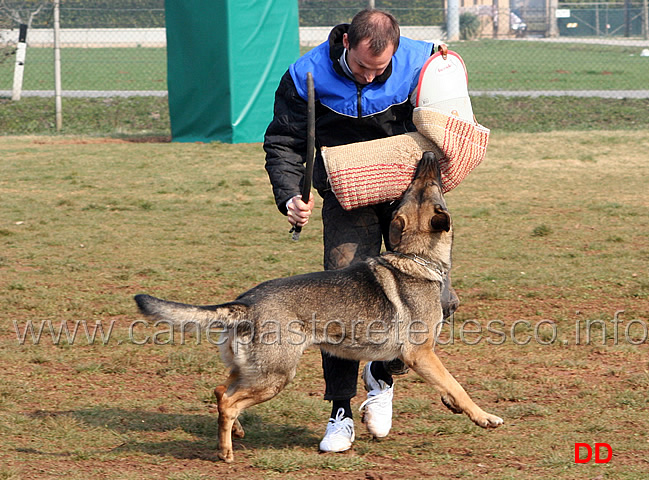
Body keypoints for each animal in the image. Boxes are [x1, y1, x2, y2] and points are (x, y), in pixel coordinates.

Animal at [135, 153, 502, 462]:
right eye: (428, 186)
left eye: (414, 187)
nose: (426, 155)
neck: (416, 256)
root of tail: (245, 304)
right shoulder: (420, 353)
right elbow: (457, 385)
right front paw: (482, 417)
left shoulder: (416, 354)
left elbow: (443, 385)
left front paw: (452, 406)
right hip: (276, 376)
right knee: (227, 400)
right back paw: (226, 451)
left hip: (254, 371)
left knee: (220, 390)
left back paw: (236, 431)